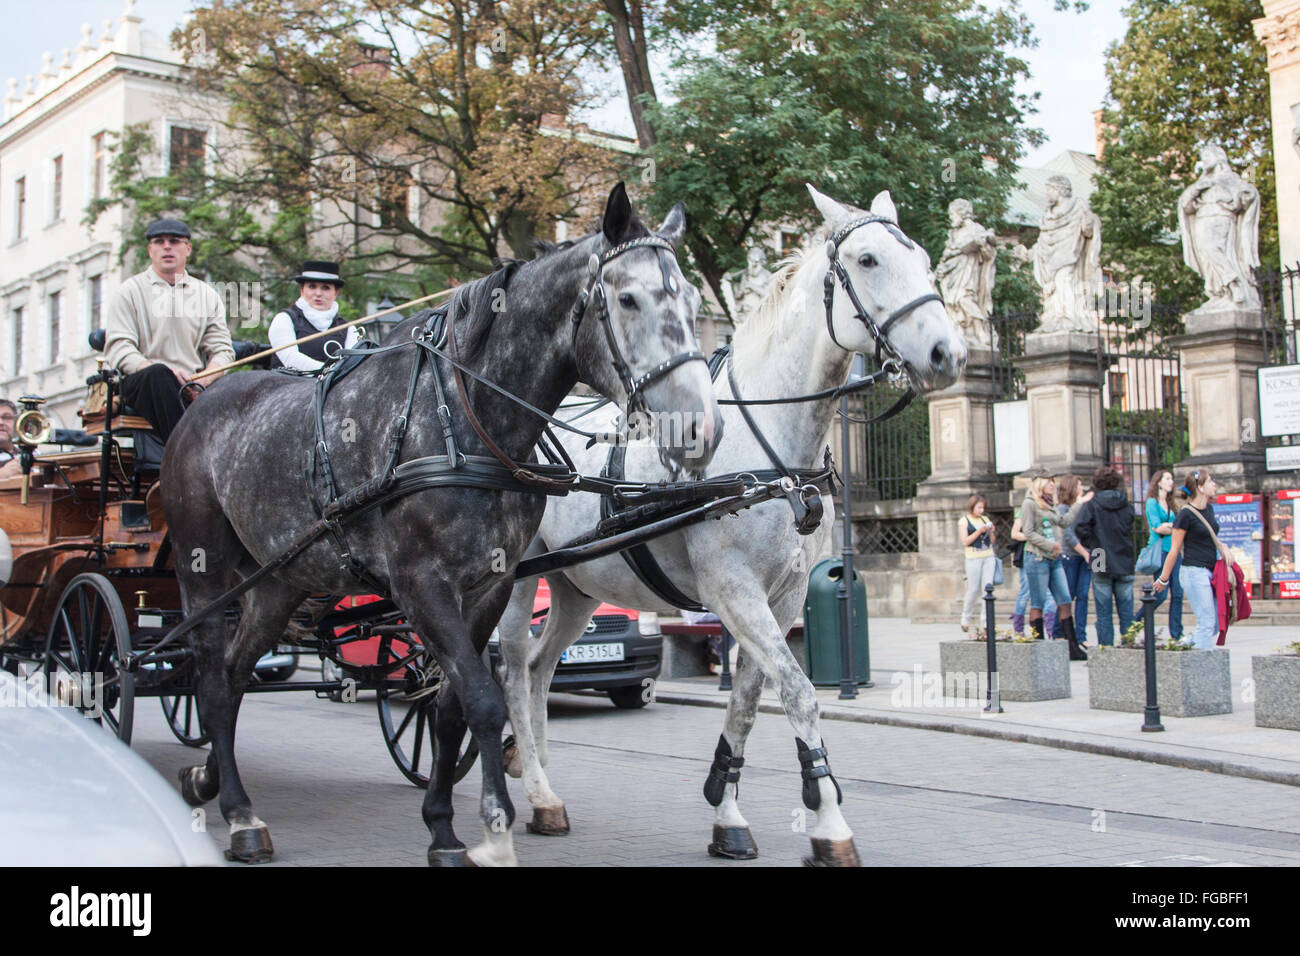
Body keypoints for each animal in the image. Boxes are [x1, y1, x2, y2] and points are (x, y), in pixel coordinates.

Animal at [493, 187, 967, 868]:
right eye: (869, 259)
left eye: (927, 260)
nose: (946, 354)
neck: (769, 452)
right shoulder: (734, 591)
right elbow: (798, 690)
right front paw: (828, 821)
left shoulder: (783, 596)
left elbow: (746, 704)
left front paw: (729, 812)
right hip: (513, 579)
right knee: (509, 668)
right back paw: (525, 779)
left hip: (576, 587)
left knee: (538, 669)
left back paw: (542, 789)